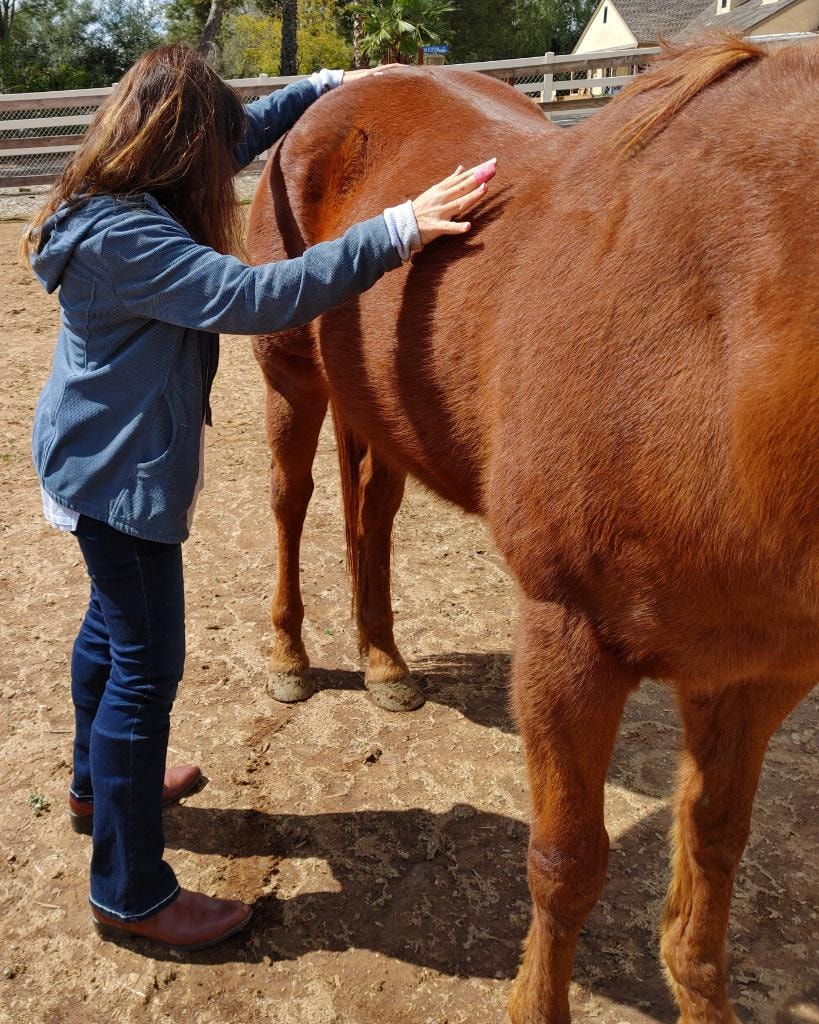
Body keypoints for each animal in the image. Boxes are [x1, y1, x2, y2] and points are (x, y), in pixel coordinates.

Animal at [247, 37, 819, 1023]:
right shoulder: (567, 642)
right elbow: (565, 863)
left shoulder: (755, 675)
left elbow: (712, 851)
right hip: (291, 377)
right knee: (292, 502)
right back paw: (290, 656)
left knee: (374, 520)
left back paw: (384, 662)